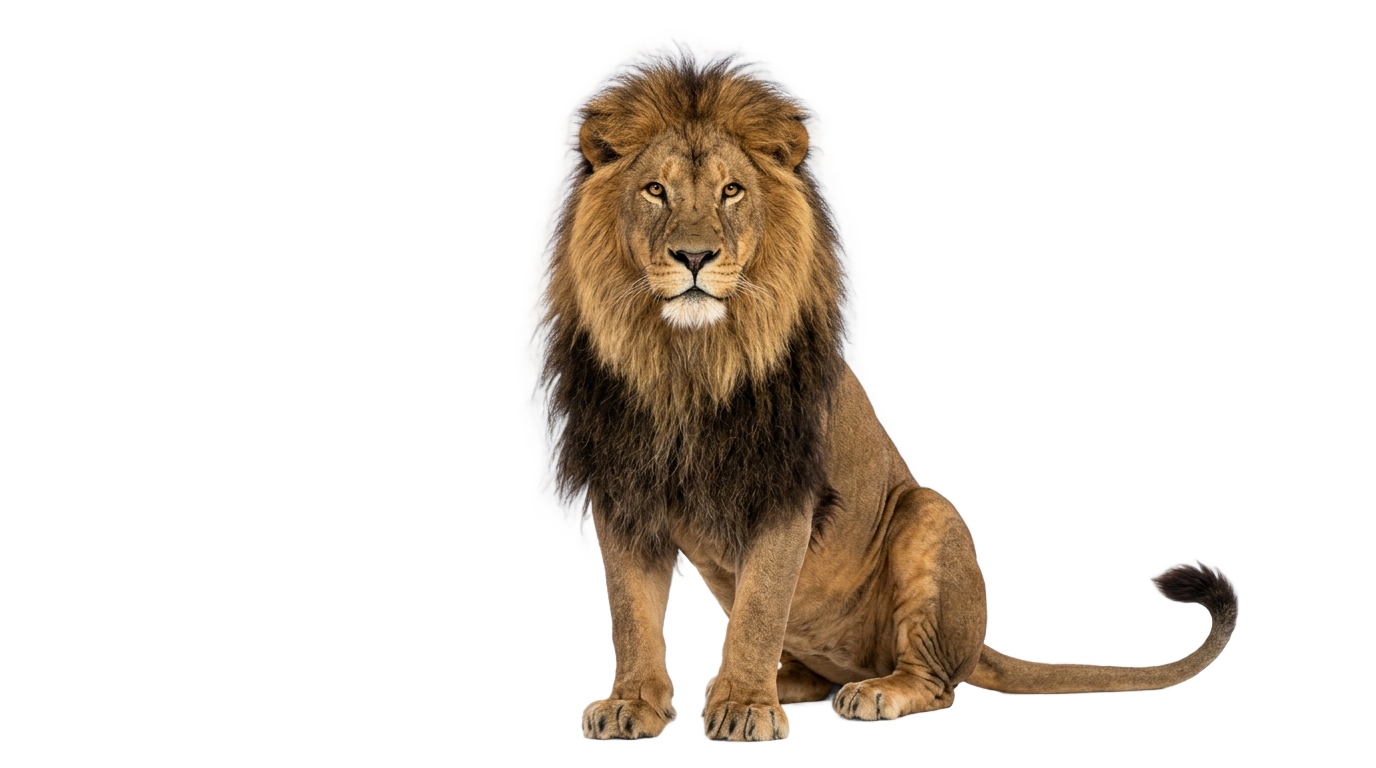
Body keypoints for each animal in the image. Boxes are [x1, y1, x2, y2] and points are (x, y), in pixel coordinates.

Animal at [539, 56, 1235, 742]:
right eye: (655, 190)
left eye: (731, 191)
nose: (693, 255)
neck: (684, 365)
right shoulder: (623, 491)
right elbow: (631, 613)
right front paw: (634, 702)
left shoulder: (785, 493)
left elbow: (758, 609)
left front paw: (744, 707)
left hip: (927, 513)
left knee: (936, 679)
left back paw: (870, 691)